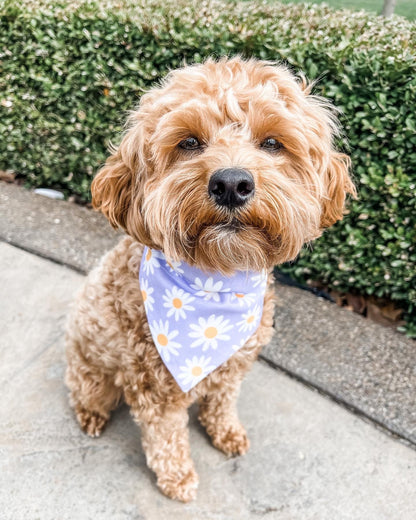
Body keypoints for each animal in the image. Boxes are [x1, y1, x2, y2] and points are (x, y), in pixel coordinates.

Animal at [65, 55, 354, 500]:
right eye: (188, 142)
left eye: (272, 143)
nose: (231, 183)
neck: (216, 284)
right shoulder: (157, 389)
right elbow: (166, 437)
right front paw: (178, 478)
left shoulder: (233, 365)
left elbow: (222, 401)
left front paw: (226, 432)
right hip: (92, 370)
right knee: (88, 391)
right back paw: (91, 415)